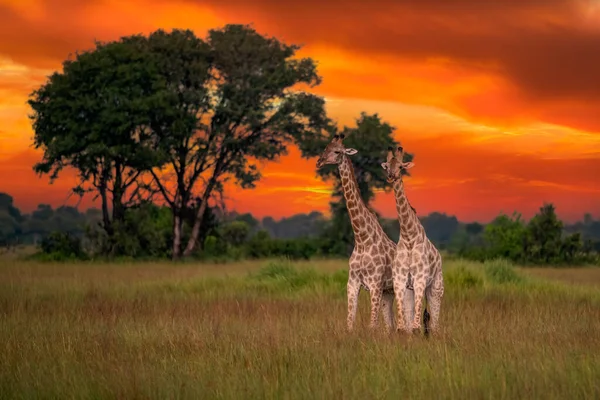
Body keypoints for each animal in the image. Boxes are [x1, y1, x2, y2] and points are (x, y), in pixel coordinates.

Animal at [314, 134, 422, 332]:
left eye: (337, 151)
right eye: (326, 148)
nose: (319, 161)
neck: (362, 237)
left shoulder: (375, 284)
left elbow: (373, 325)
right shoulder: (352, 283)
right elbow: (350, 322)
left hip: (404, 288)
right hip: (389, 293)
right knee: (390, 324)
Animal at [382, 145, 442, 336]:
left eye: (401, 167)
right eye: (387, 166)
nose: (391, 176)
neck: (409, 236)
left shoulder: (420, 278)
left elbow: (416, 326)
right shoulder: (400, 279)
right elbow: (403, 327)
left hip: (436, 287)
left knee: (434, 320)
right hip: (411, 289)